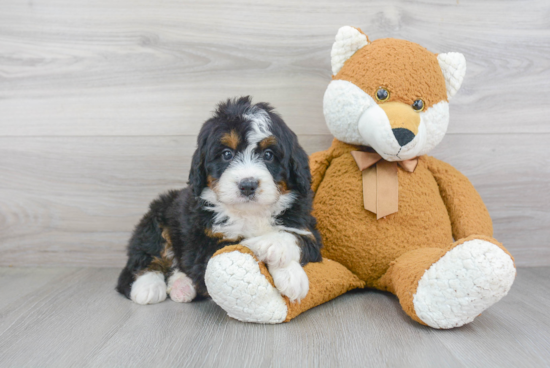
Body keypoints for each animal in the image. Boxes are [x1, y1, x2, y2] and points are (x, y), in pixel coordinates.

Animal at [116, 95, 324, 304]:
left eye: (268, 155)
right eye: (227, 154)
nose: (247, 185)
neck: (250, 212)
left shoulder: (305, 226)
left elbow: (300, 238)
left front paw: (278, 252)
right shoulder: (203, 244)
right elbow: (240, 244)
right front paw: (282, 262)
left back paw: (181, 287)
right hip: (157, 217)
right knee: (146, 255)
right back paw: (148, 287)